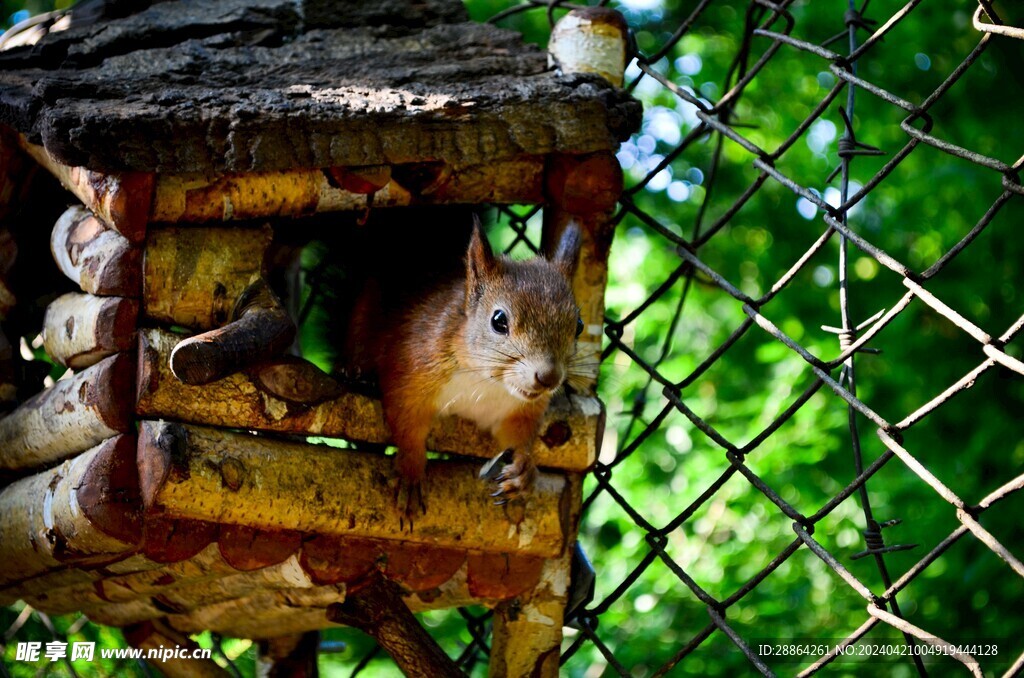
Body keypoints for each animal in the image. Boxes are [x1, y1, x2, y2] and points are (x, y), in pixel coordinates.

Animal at [342, 215, 585, 518]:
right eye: (498, 321)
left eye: (579, 326)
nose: (549, 377)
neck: (486, 380)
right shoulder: (411, 370)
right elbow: (407, 422)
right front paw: (410, 472)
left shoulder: (519, 410)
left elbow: (518, 436)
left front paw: (523, 471)